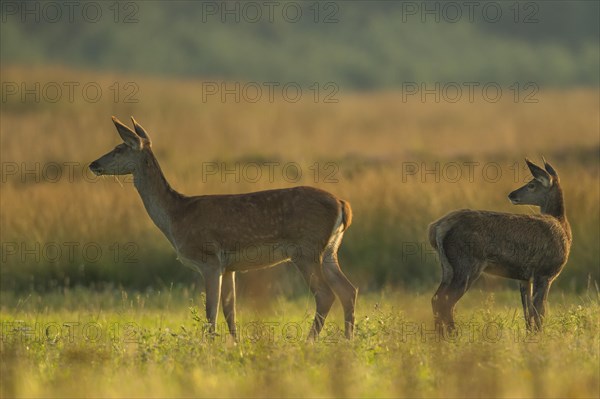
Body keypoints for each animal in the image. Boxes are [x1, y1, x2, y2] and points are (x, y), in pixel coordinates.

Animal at [89, 115, 356, 340]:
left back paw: (310, 340)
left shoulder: (209, 259)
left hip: (305, 248)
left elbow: (211, 311)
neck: (176, 215)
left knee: (326, 294)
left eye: (119, 148)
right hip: (330, 250)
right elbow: (230, 311)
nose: (93, 164)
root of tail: (343, 204)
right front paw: (236, 345)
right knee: (348, 290)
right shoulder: (229, 267)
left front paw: (210, 345)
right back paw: (347, 340)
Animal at [428, 159, 568, 334]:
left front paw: (530, 336)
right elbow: (539, 312)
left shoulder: (524, 278)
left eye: (531, 185)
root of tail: (437, 228)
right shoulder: (545, 273)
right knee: (444, 301)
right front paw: (540, 336)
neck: (563, 227)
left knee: (436, 298)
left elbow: (528, 313)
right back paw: (453, 335)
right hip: (466, 265)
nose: (512, 195)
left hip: (447, 268)